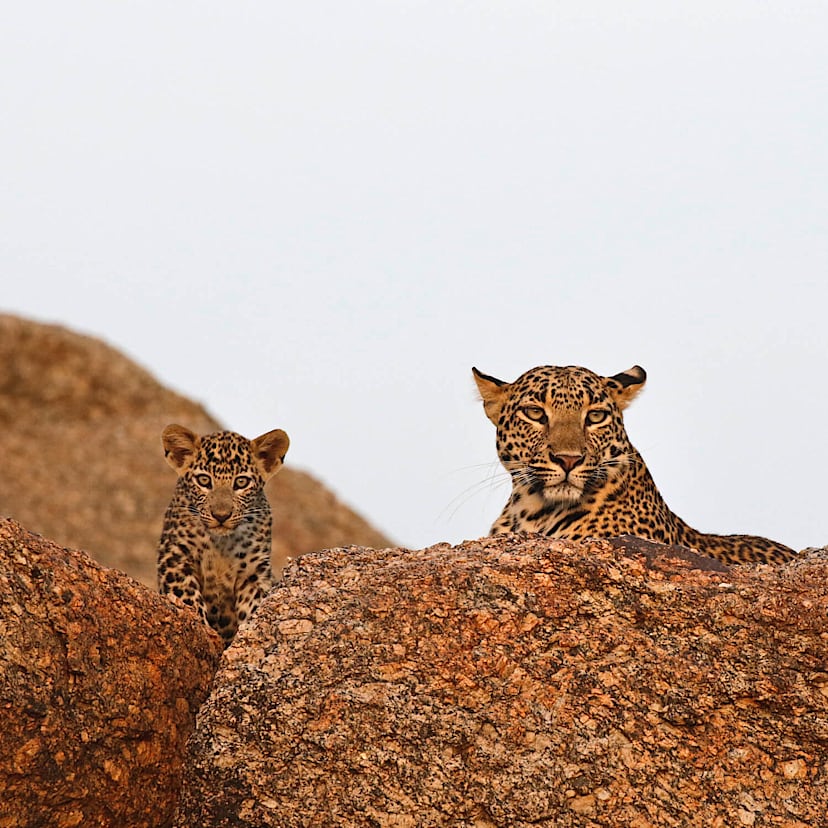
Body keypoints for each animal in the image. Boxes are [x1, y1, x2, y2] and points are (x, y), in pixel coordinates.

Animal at [157, 424, 290, 646]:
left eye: (241, 482)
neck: (220, 543)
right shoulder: (175, 558)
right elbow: (187, 596)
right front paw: (202, 629)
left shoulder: (254, 573)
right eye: (204, 480)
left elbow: (255, 605)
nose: (221, 515)